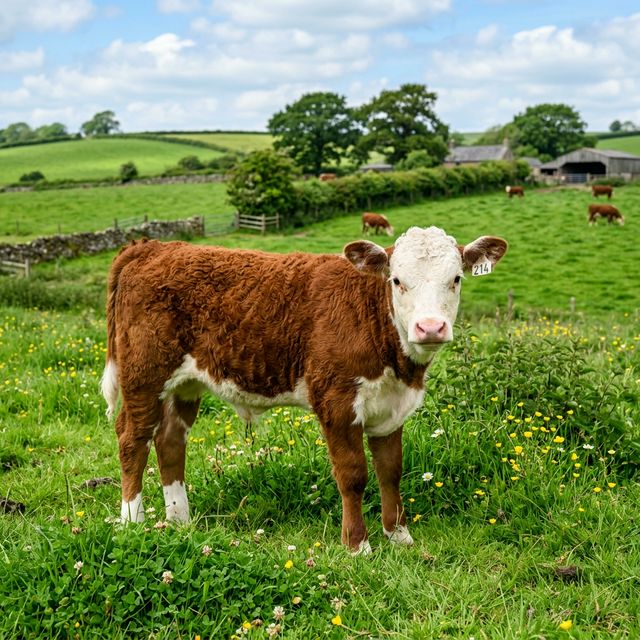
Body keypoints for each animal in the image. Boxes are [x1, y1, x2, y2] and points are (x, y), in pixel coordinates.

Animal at [102, 227, 508, 553]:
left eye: (456, 278)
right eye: (396, 280)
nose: (430, 327)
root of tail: (153, 247)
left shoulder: (391, 408)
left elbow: (391, 470)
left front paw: (398, 535)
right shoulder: (337, 400)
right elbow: (353, 475)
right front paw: (357, 545)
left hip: (186, 383)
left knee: (170, 439)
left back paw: (179, 520)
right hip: (144, 373)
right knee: (132, 438)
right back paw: (132, 521)